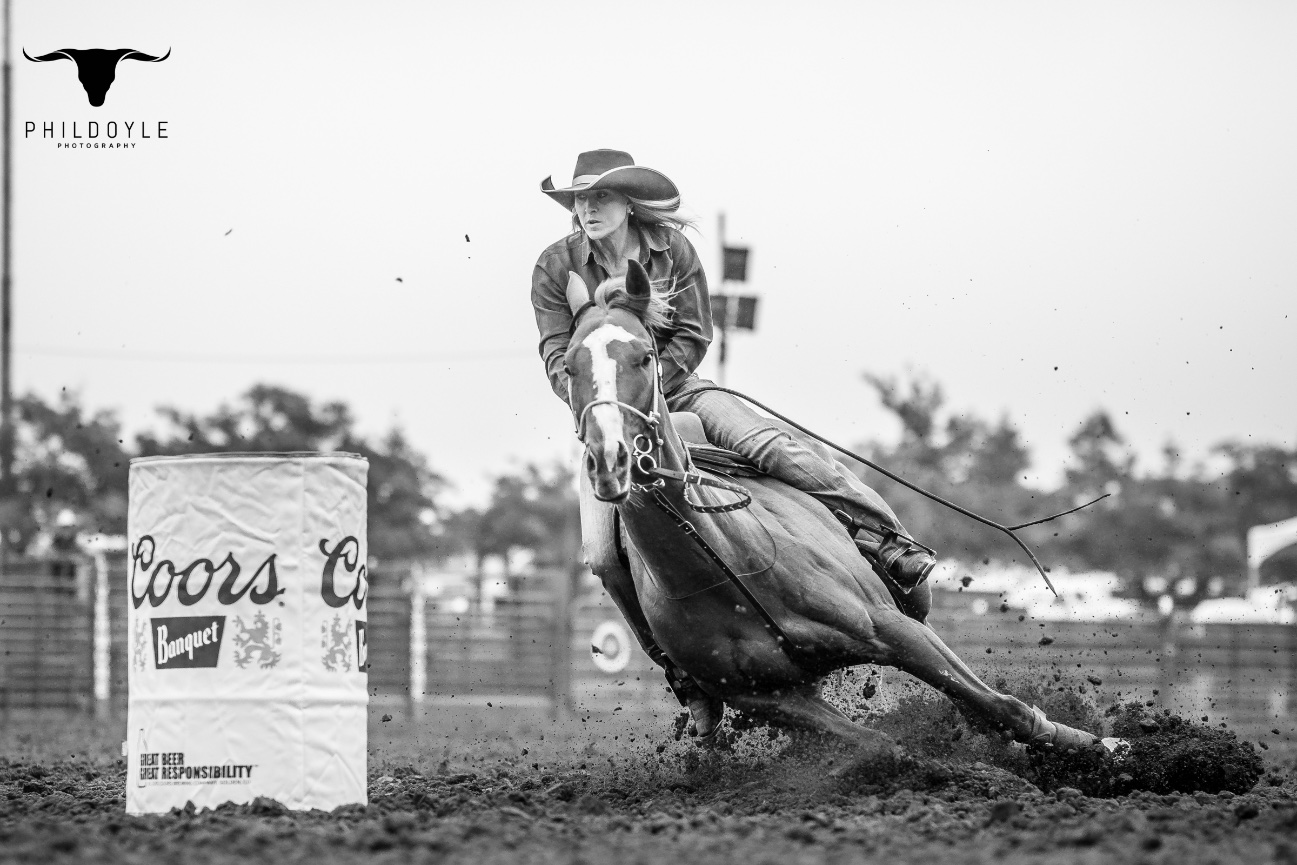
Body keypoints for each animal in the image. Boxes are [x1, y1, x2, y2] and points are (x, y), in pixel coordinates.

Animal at [565, 259, 1105, 757]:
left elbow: (1002, 708)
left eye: (645, 356)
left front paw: (1098, 747)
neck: (726, 562)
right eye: (570, 367)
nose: (609, 458)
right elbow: (874, 744)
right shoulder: (769, 697)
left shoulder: (888, 627)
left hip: (907, 599)